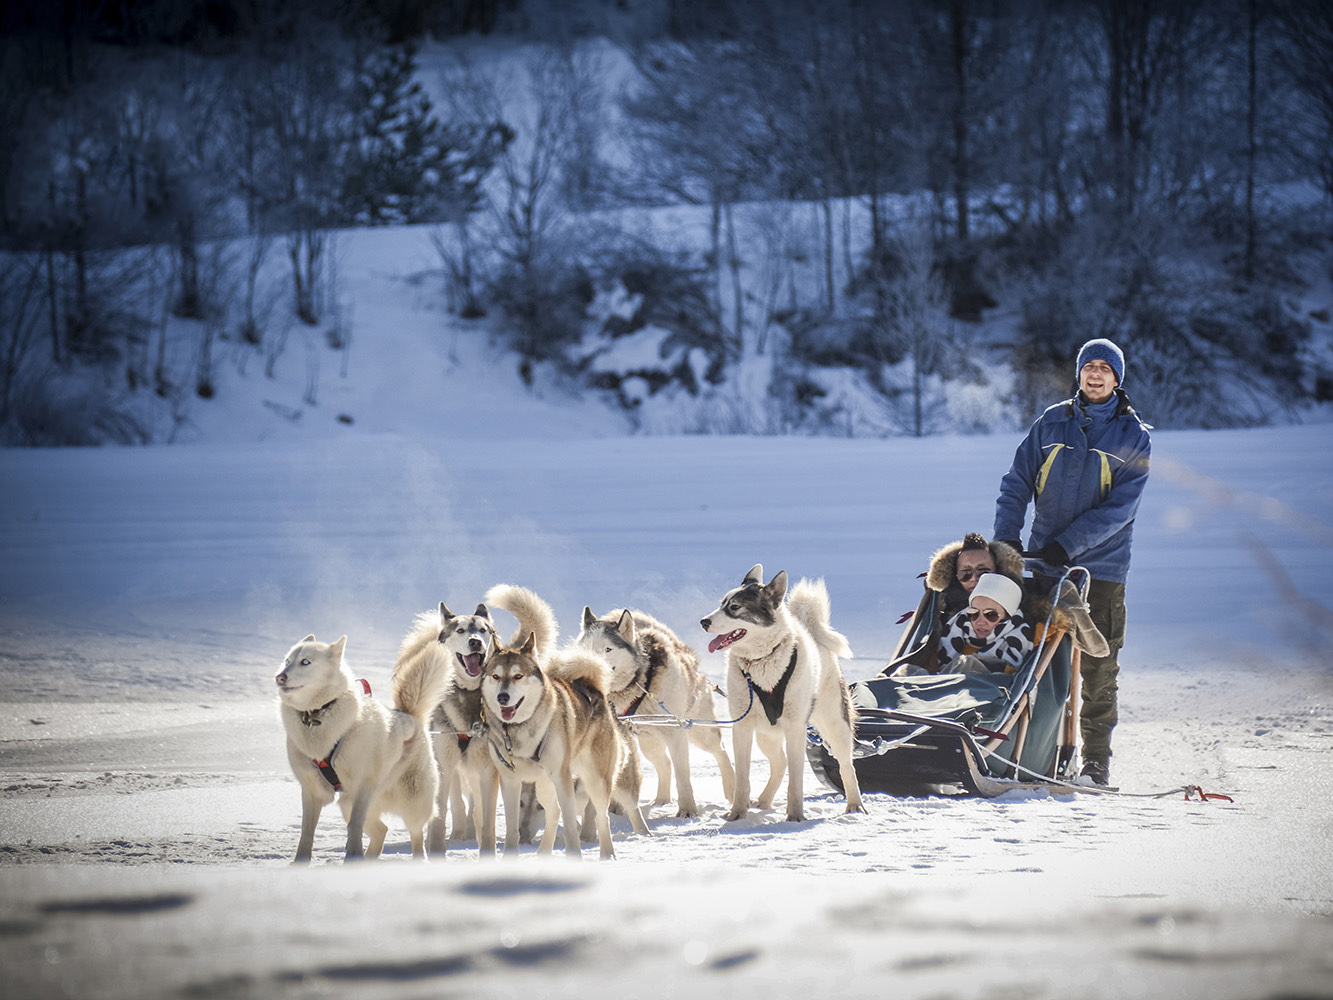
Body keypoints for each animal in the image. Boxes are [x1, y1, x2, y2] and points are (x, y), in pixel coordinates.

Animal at [274, 634, 442, 864]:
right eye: (287, 661)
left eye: (305, 662)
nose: (279, 677)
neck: (316, 716)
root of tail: (409, 715)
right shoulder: (311, 791)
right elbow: (306, 832)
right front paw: (300, 862)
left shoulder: (362, 787)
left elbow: (354, 826)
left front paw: (352, 856)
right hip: (348, 804)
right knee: (381, 830)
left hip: (412, 803)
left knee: (416, 833)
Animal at [397, 584, 559, 858]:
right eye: (461, 630)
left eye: (483, 630)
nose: (476, 641)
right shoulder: (445, 765)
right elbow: (440, 817)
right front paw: (437, 850)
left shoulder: (489, 770)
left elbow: (487, 818)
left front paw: (487, 852)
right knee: (458, 803)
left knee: (476, 807)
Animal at [482, 634, 647, 864]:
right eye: (496, 676)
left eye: (518, 676)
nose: (502, 697)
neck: (518, 731)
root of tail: (591, 686)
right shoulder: (510, 781)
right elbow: (512, 828)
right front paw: (510, 859)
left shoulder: (562, 777)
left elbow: (570, 826)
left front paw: (575, 857)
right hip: (543, 787)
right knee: (554, 811)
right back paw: (543, 852)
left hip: (597, 780)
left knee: (601, 816)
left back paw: (608, 854)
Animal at [575, 608, 735, 816]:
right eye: (586, 648)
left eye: (608, 649)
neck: (640, 682)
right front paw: (615, 807)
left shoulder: (676, 733)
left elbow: (683, 774)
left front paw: (688, 809)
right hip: (648, 742)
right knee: (665, 764)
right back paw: (661, 799)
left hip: (700, 733)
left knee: (720, 751)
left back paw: (731, 789)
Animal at [698, 568, 863, 826]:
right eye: (721, 604)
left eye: (734, 607)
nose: (704, 621)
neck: (760, 661)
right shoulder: (742, 727)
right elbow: (742, 778)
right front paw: (737, 813)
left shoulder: (795, 728)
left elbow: (796, 780)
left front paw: (795, 815)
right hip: (766, 734)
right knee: (779, 762)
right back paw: (765, 800)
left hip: (835, 725)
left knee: (847, 765)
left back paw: (855, 805)